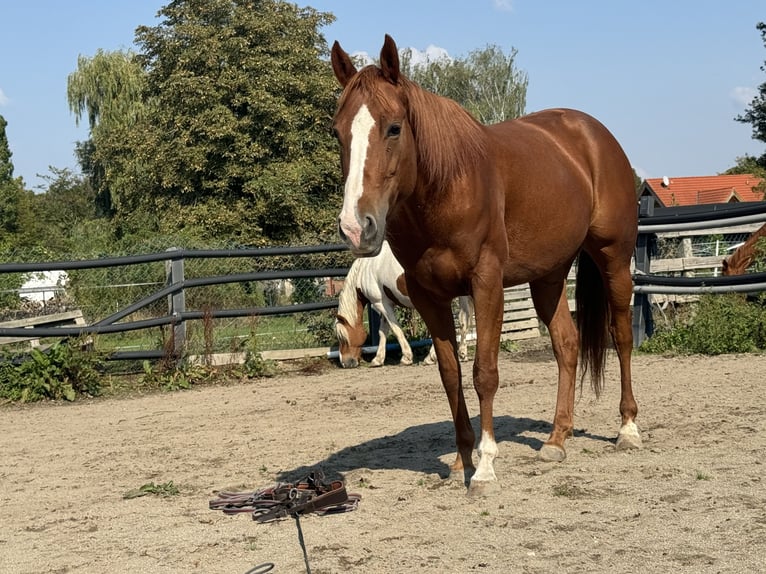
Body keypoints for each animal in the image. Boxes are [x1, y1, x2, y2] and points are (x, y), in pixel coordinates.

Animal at [335, 239, 474, 368]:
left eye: (342, 338)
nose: (345, 363)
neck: (365, 268)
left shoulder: (381, 304)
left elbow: (396, 329)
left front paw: (406, 357)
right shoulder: (385, 305)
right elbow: (383, 331)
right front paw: (378, 360)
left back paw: (431, 358)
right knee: (463, 322)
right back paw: (461, 354)